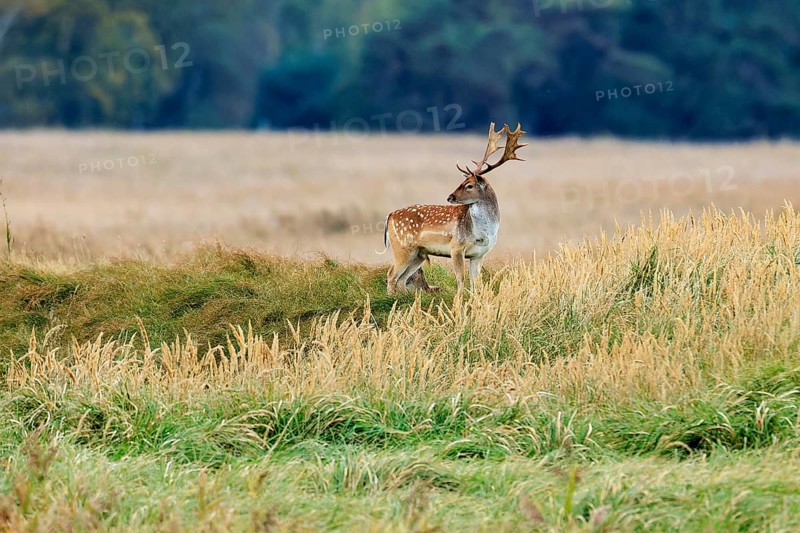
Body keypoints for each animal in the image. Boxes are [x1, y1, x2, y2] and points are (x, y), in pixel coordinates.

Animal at [382, 122, 527, 294]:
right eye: (462, 182)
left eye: (469, 185)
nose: (450, 197)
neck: (482, 234)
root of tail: (390, 216)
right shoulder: (456, 246)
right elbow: (460, 280)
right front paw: (459, 299)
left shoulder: (479, 255)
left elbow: (475, 282)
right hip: (403, 247)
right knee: (391, 275)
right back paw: (391, 297)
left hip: (419, 253)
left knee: (402, 279)